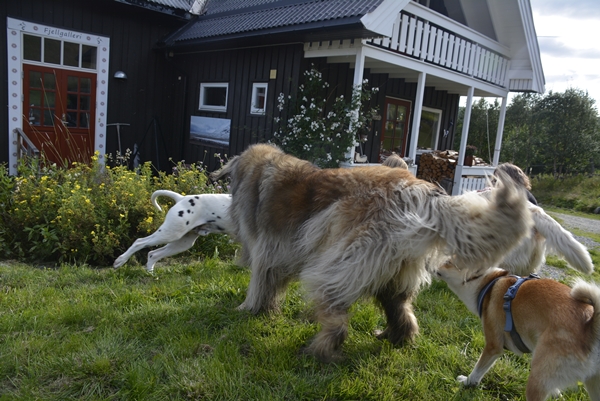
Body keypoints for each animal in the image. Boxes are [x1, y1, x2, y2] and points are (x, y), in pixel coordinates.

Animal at [214, 145, 536, 362]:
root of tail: (418, 193)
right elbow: (269, 284)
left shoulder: (265, 251)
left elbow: (259, 283)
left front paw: (248, 308)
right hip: (392, 269)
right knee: (401, 309)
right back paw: (395, 338)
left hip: (338, 263)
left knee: (336, 314)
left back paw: (319, 350)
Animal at [436, 262, 600, 400]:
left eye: (448, 262)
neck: (487, 283)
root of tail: (589, 325)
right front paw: (555, 393)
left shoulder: (493, 345)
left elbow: (478, 370)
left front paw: (467, 382)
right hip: (592, 384)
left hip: (536, 380)